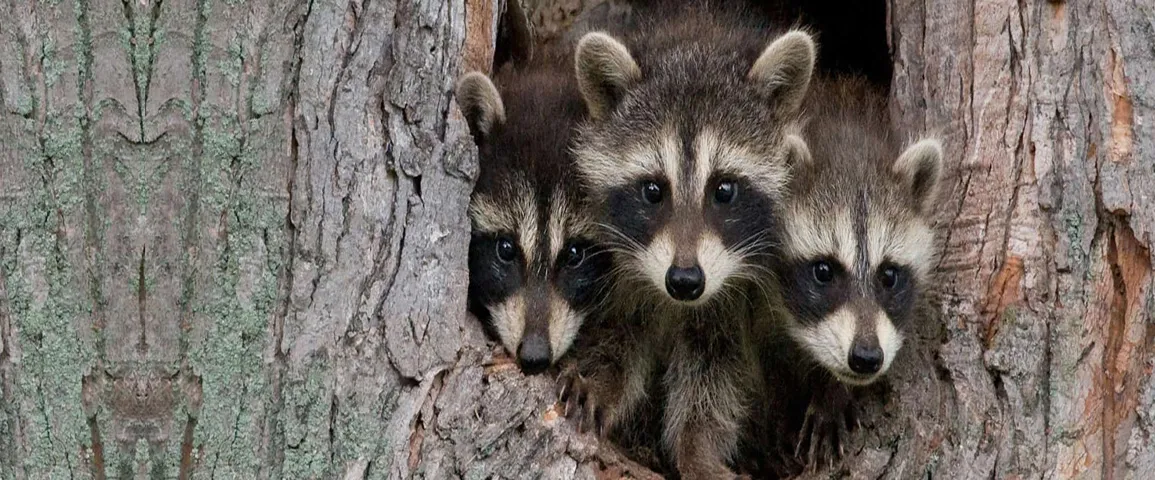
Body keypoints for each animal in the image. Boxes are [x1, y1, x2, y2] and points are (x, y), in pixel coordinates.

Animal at [555, 4, 816, 477]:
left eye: (724, 190)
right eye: (653, 190)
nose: (684, 280)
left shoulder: (735, 297)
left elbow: (715, 369)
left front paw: (697, 447)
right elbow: (617, 331)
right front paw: (599, 379)